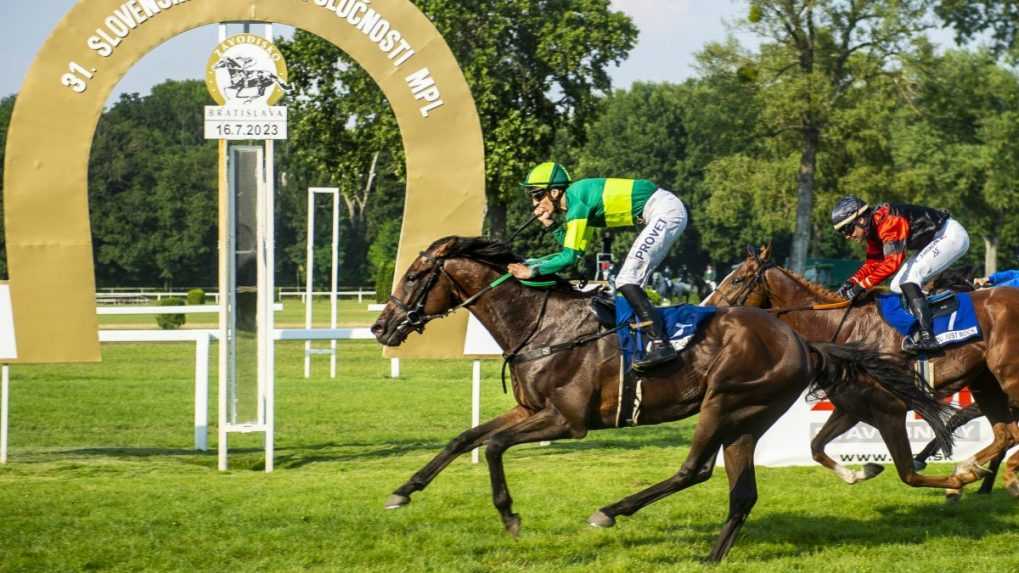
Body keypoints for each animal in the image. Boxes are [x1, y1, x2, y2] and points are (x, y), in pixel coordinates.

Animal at [370, 234, 957, 558]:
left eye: (417, 275)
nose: (380, 326)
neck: (542, 323)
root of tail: (802, 340)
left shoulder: (566, 420)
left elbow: (492, 447)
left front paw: (510, 517)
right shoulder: (530, 408)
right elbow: (465, 437)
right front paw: (402, 491)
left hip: (724, 402)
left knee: (694, 470)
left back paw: (611, 511)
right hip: (749, 418)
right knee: (741, 493)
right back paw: (710, 556)